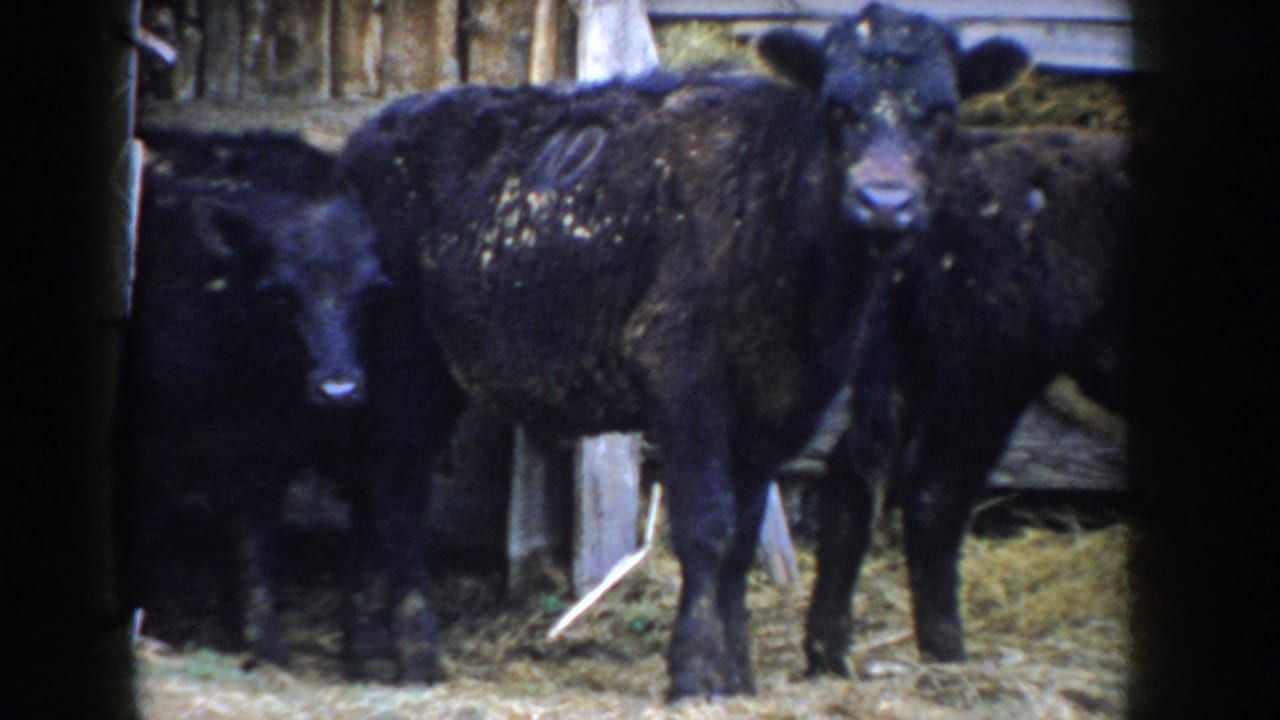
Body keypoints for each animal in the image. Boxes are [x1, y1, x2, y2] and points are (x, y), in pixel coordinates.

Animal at [114, 128, 464, 683]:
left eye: (373, 292)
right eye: (278, 292)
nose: (339, 389)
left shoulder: (275, 453)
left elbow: (260, 541)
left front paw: (269, 645)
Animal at [332, 2, 1028, 698]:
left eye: (941, 113)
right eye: (836, 108)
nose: (884, 203)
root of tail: (368, 136)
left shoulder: (778, 406)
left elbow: (743, 537)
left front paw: (738, 673)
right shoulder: (683, 376)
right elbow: (706, 526)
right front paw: (693, 670)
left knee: (369, 489)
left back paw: (365, 652)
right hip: (408, 359)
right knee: (396, 495)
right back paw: (418, 652)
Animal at [803, 127, 1132, 677]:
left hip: (907, 366)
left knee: (854, 477)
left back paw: (828, 656)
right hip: (983, 378)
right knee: (933, 496)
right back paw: (950, 656)